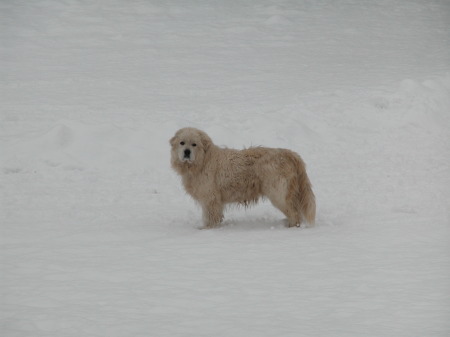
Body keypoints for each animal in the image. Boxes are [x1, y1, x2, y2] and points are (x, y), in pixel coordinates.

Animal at [170, 127, 316, 227]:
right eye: (182, 143)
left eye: (194, 144)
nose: (187, 152)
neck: (203, 161)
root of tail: (290, 154)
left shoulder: (210, 198)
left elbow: (210, 216)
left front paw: (206, 229)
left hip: (277, 193)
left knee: (294, 213)